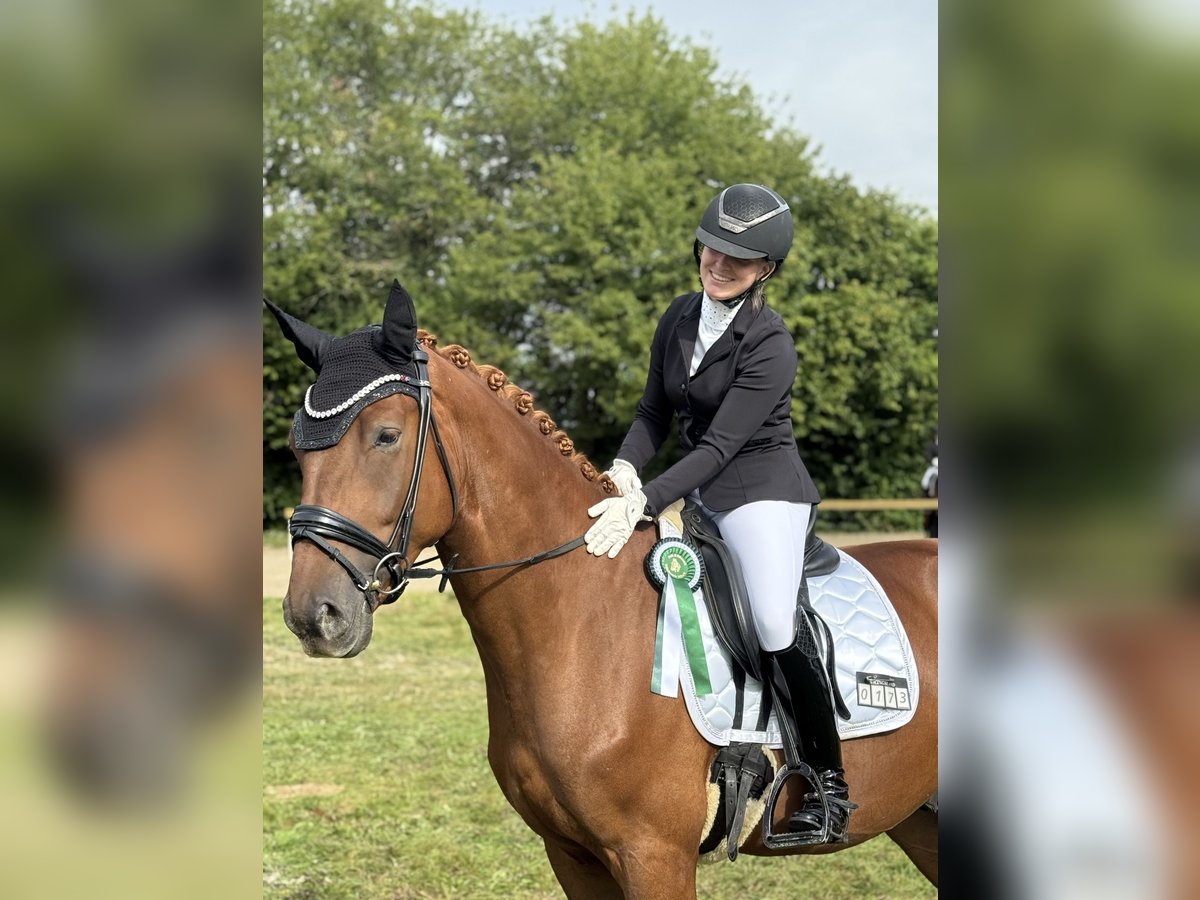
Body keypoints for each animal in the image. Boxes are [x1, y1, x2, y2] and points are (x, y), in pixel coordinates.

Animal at [272, 284, 938, 897]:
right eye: (296, 448)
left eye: (386, 436)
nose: (315, 616)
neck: (582, 624)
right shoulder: (571, 855)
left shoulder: (653, 856)